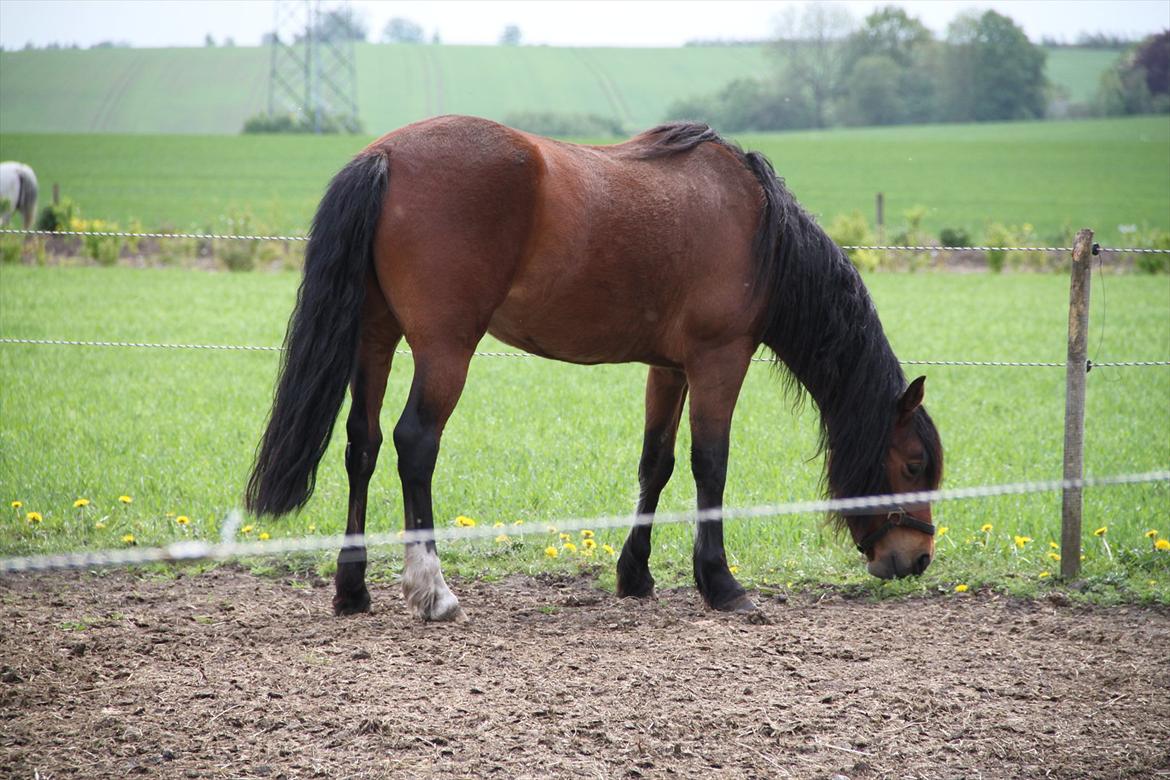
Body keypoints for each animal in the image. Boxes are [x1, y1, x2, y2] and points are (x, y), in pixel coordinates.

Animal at [244, 115, 940, 626]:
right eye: (911, 466)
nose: (918, 558)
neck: (757, 226)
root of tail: (385, 154)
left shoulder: (670, 368)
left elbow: (656, 464)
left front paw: (635, 573)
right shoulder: (719, 359)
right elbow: (710, 465)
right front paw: (721, 583)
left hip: (376, 336)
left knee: (360, 445)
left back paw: (352, 587)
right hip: (445, 348)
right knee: (414, 443)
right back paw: (432, 590)